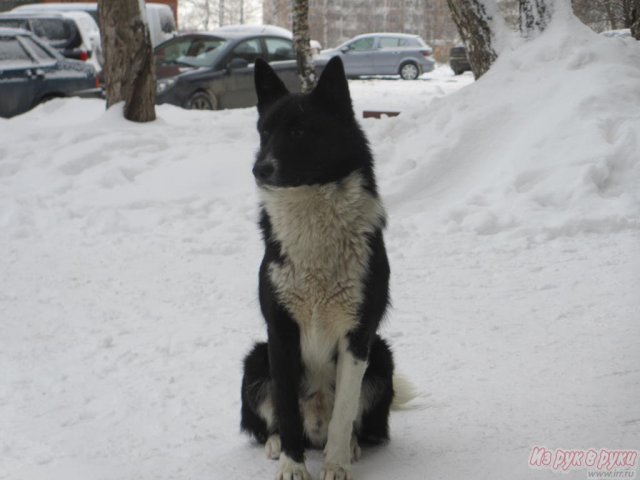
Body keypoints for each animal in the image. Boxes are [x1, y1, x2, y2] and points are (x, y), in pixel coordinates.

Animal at [241, 57, 396, 480]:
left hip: (382, 356)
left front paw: (336, 465)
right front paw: (293, 467)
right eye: (264, 131)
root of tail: (316, 430)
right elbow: (285, 410)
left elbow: (344, 412)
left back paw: (351, 446)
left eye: (298, 131)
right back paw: (277, 444)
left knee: (354, 423)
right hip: (255, 359)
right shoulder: (280, 333)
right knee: (274, 421)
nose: (259, 169)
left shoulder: (357, 338)